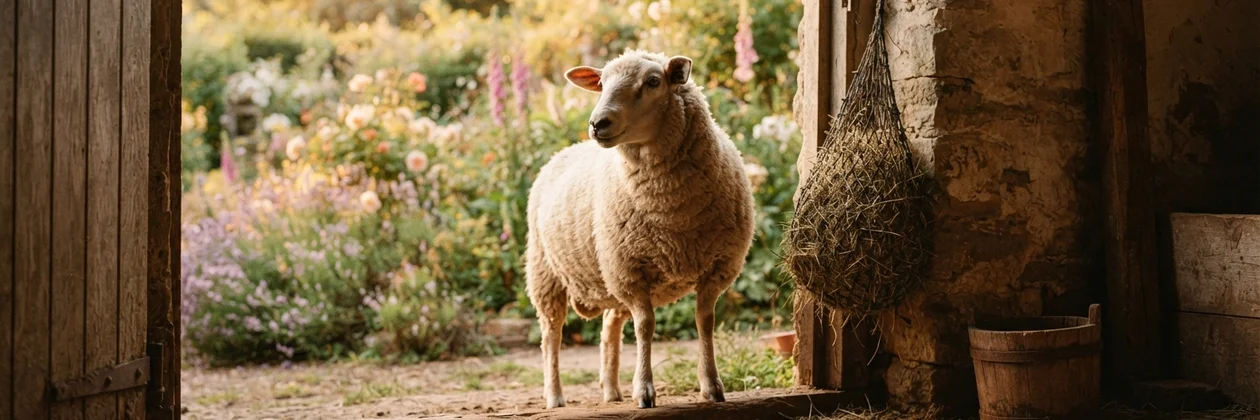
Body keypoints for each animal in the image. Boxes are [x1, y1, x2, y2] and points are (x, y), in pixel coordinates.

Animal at [525, 49, 756, 409]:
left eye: (653, 82)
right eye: (602, 83)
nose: (597, 123)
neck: (673, 215)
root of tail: (563, 151)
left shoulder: (717, 267)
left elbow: (704, 322)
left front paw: (712, 386)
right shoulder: (631, 270)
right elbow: (645, 327)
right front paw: (645, 390)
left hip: (605, 275)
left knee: (609, 328)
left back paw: (610, 390)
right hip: (545, 273)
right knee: (551, 334)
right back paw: (555, 396)